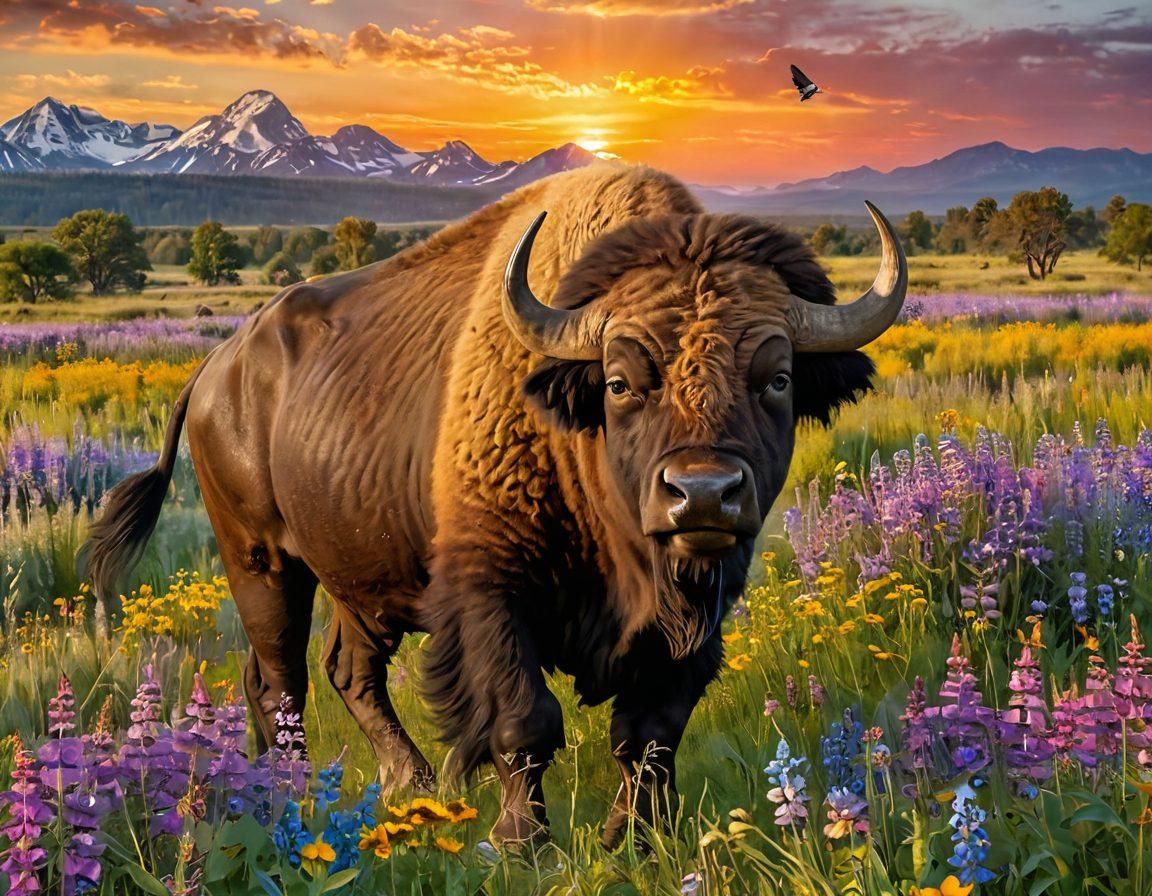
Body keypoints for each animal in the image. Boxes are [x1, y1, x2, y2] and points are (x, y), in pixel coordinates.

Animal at [82, 164, 906, 847]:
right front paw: (521, 843)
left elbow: (651, 732)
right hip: (262, 562)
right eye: (619, 382)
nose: (701, 493)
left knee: (348, 671)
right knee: (282, 681)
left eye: (778, 379)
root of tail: (215, 366)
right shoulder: (490, 591)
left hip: (359, 577)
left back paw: (406, 785)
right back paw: (292, 796)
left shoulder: (697, 614)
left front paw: (638, 840)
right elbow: (524, 721)